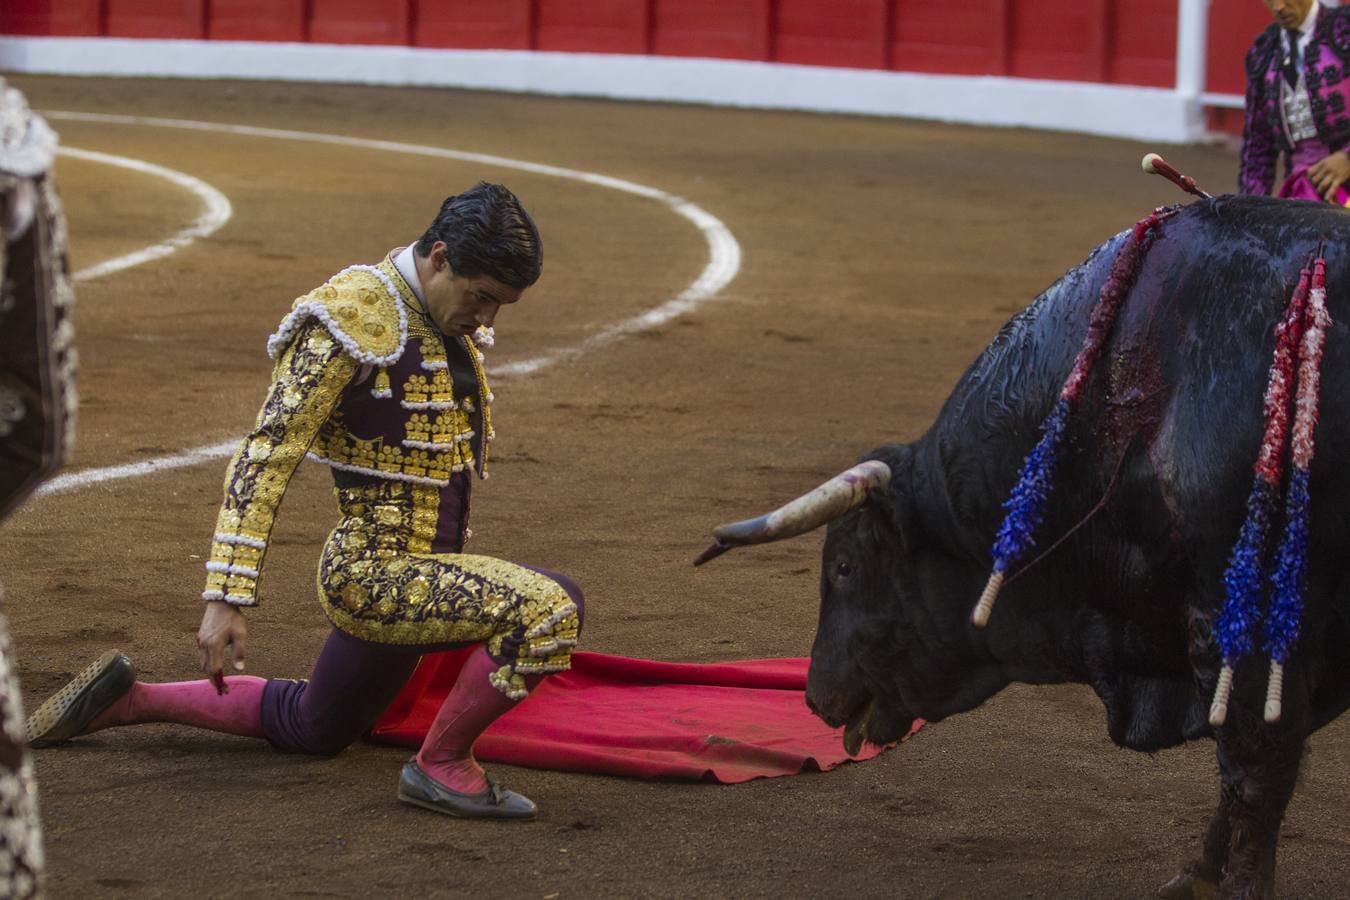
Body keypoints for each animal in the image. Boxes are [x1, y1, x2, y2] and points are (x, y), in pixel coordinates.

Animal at [702, 194, 1350, 895]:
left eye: (846, 567)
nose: (814, 697)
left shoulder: (1245, 629)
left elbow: (1253, 769)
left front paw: (1233, 884)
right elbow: (1242, 767)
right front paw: (1197, 874)